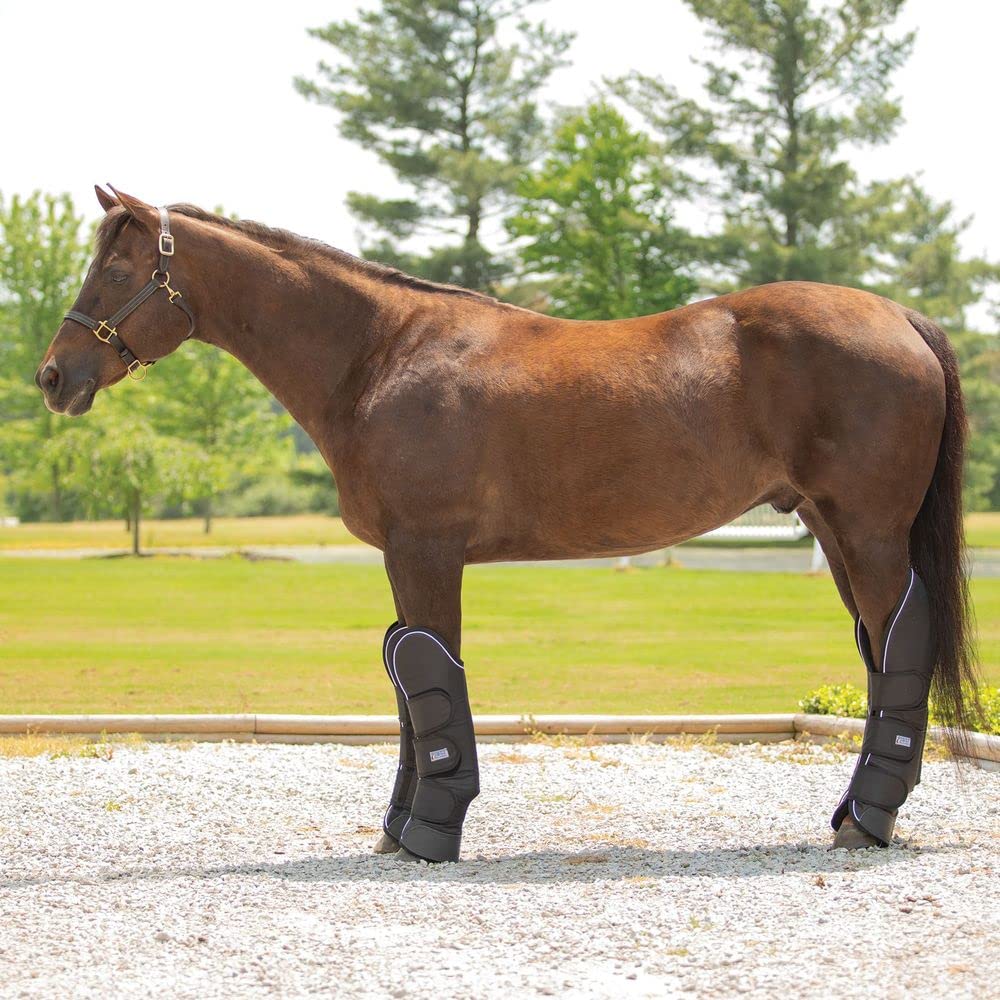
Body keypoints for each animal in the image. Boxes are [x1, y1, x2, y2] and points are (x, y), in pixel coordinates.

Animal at [36, 187, 977, 861]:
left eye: (115, 272)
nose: (52, 376)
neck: (380, 354)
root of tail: (901, 318)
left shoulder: (427, 549)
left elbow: (432, 681)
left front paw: (430, 833)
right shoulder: (404, 557)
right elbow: (411, 680)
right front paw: (398, 831)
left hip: (868, 529)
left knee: (902, 642)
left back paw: (870, 824)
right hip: (831, 526)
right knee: (878, 647)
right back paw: (851, 814)